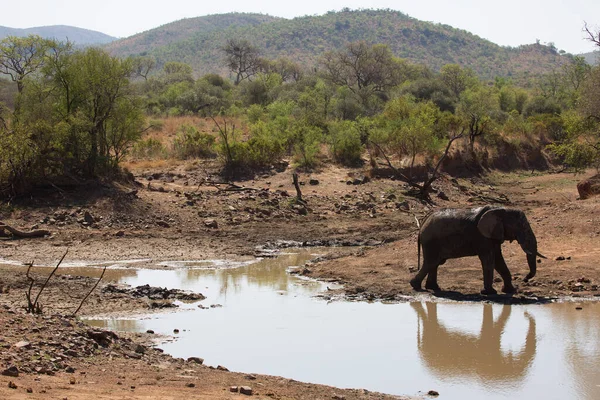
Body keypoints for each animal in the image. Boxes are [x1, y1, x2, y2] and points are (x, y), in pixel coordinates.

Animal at [410, 206, 548, 294]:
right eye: (522, 227)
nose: (525, 279)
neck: (501, 210)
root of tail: (422, 224)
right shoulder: (482, 237)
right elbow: (489, 259)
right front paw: (490, 293)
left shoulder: (493, 235)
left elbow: (498, 259)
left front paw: (510, 290)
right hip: (431, 242)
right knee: (431, 262)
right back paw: (416, 286)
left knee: (435, 263)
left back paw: (433, 288)